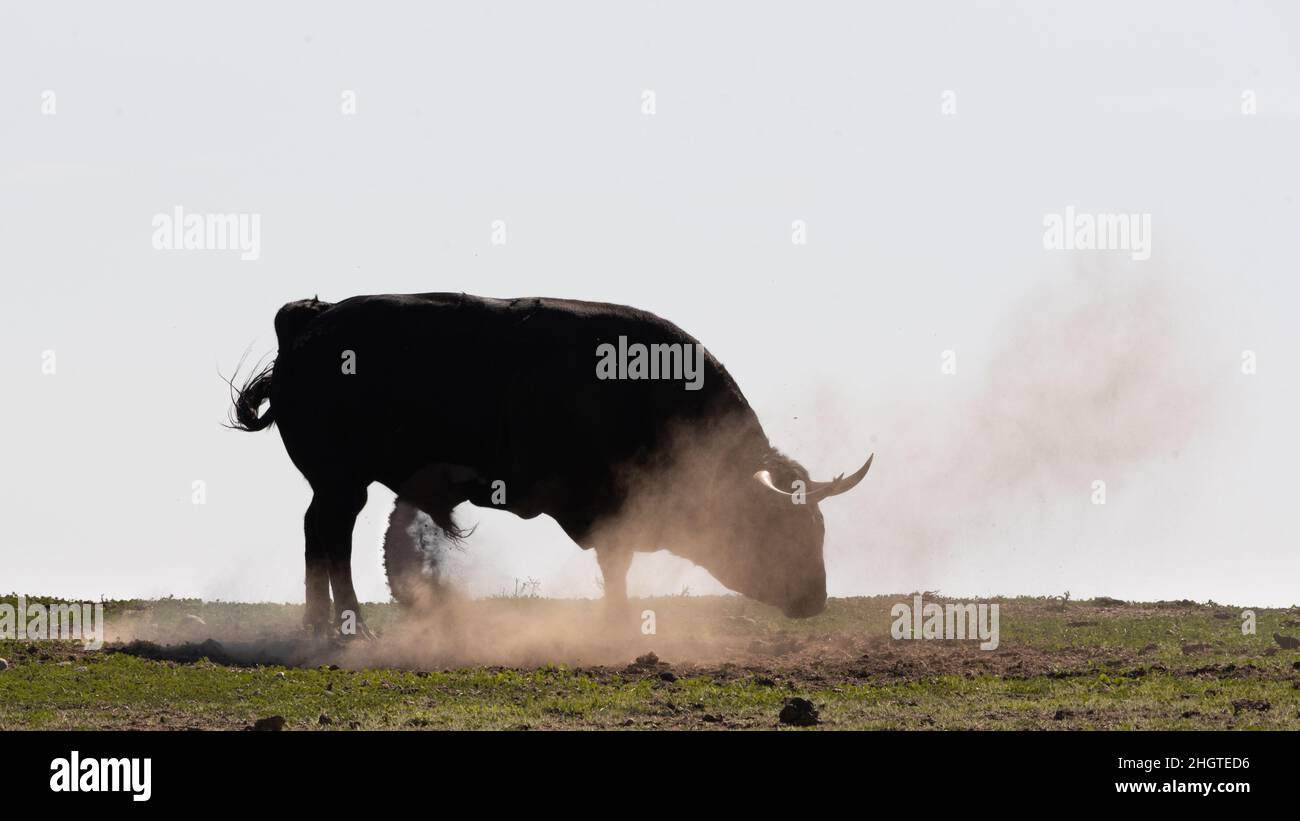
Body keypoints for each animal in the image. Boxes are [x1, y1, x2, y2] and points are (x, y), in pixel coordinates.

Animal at [228, 292, 868, 631]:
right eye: (785, 530)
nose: (815, 599)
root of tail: (314, 317)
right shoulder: (609, 509)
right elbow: (617, 565)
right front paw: (617, 623)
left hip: (339, 485)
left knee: (323, 536)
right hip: (341, 483)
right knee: (328, 537)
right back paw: (342, 625)